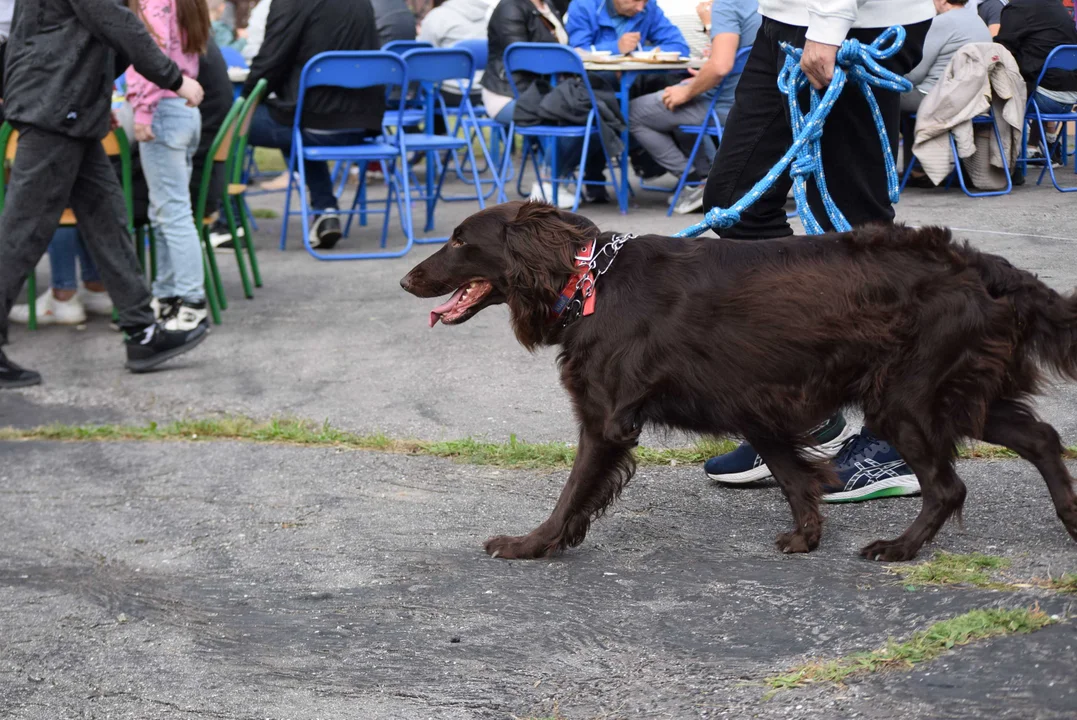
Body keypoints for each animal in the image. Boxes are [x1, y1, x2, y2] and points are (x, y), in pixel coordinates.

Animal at [400, 201, 1077, 559]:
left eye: (459, 242)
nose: (406, 280)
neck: (591, 279)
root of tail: (982, 264)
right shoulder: (755, 404)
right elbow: (793, 476)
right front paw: (807, 536)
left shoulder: (607, 419)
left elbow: (571, 493)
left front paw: (531, 544)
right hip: (960, 390)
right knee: (1042, 437)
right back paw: (1072, 519)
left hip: (906, 398)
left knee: (948, 486)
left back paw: (901, 548)